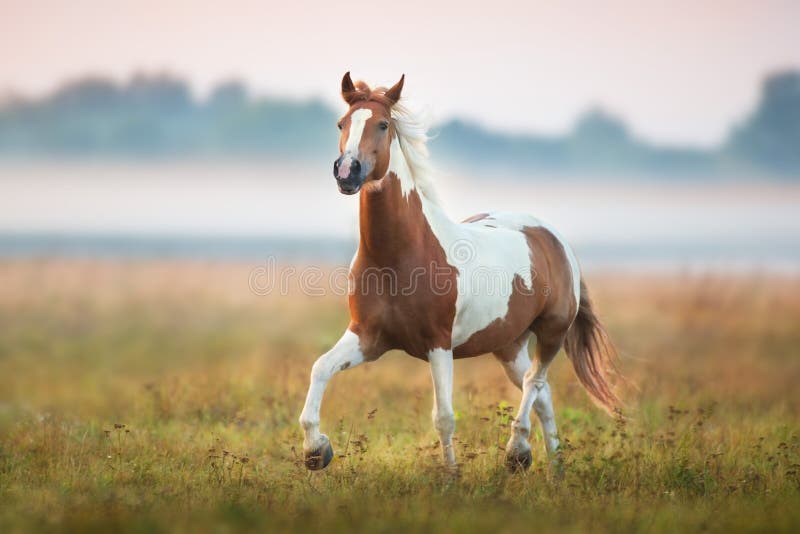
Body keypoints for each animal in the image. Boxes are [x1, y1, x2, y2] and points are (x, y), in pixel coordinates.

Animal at [300, 74, 620, 474]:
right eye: (342, 123)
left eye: (383, 124)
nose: (348, 172)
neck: (399, 256)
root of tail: (554, 238)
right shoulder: (367, 338)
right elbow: (319, 369)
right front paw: (316, 451)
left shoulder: (438, 344)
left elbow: (444, 416)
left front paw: (451, 476)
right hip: (508, 345)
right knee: (543, 395)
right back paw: (555, 472)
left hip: (552, 333)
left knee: (535, 382)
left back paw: (518, 452)